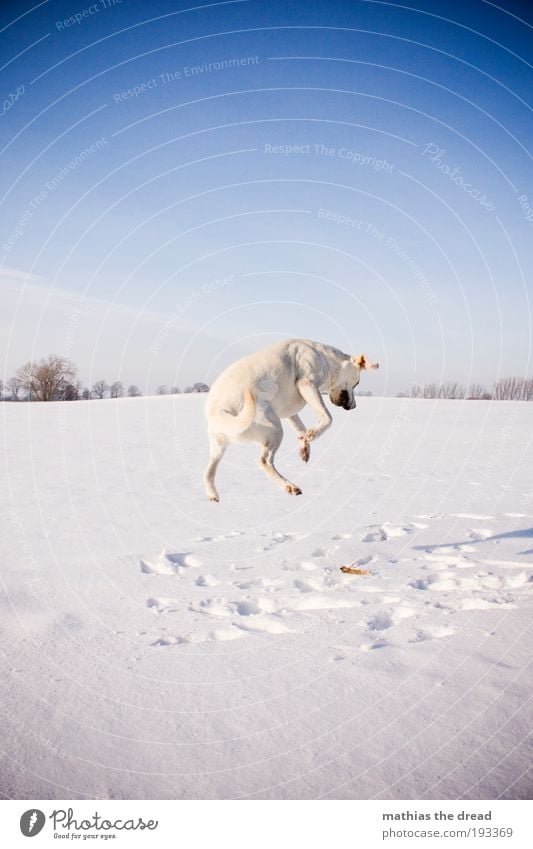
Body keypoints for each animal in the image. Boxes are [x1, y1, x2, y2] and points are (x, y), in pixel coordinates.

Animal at [203, 336, 378, 500]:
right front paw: (313, 434)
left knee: (208, 473)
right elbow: (327, 418)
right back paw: (290, 486)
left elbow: (301, 430)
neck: (326, 357)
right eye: (357, 383)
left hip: (219, 448)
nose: (353, 406)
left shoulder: (289, 413)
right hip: (275, 429)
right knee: (264, 461)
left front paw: (305, 447)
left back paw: (213, 495)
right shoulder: (307, 384)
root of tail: (219, 410)